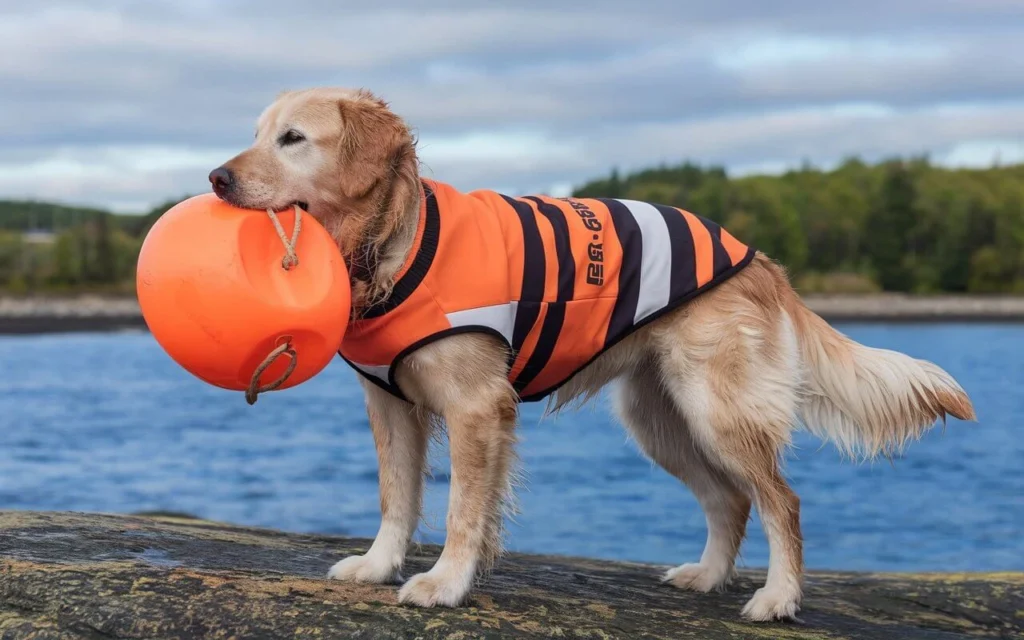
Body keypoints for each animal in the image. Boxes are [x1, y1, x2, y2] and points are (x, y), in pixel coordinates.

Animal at [209, 87, 974, 622]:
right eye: (255, 135)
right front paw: (378, 566)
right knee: (730, 499)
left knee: (781, 501)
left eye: (293, 138)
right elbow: (397, 495)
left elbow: (461, 508)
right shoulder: (391, 404)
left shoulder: (476, 407)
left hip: (717, 409)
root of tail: (758, 257)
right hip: (659, 420)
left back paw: (776, 600)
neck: (393, 239)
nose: (216, 177)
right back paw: (706, 576)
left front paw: (445, 583)